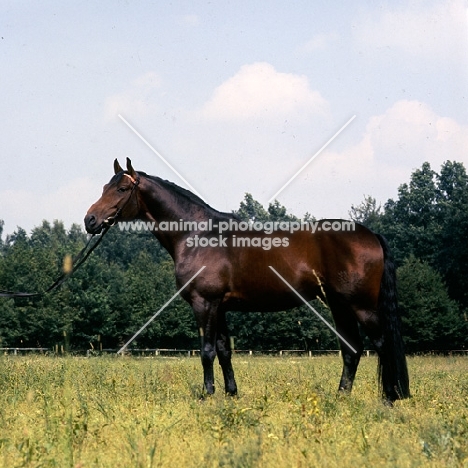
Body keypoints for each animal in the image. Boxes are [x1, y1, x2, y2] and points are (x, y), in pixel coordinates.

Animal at [85, 159, 410, 404]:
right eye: (104, 187)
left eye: (122, 188)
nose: (90, 220)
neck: (197, 235)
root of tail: (370, 235)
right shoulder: (220, 307)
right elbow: (224, 351)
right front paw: (231, 394)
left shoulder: (205, 303)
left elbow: (207, 351)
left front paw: (207, 395)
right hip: (339, 305)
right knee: (352, 349)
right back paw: (341, 396)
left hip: (361, 306)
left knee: (381, 344)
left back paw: (389, 398)